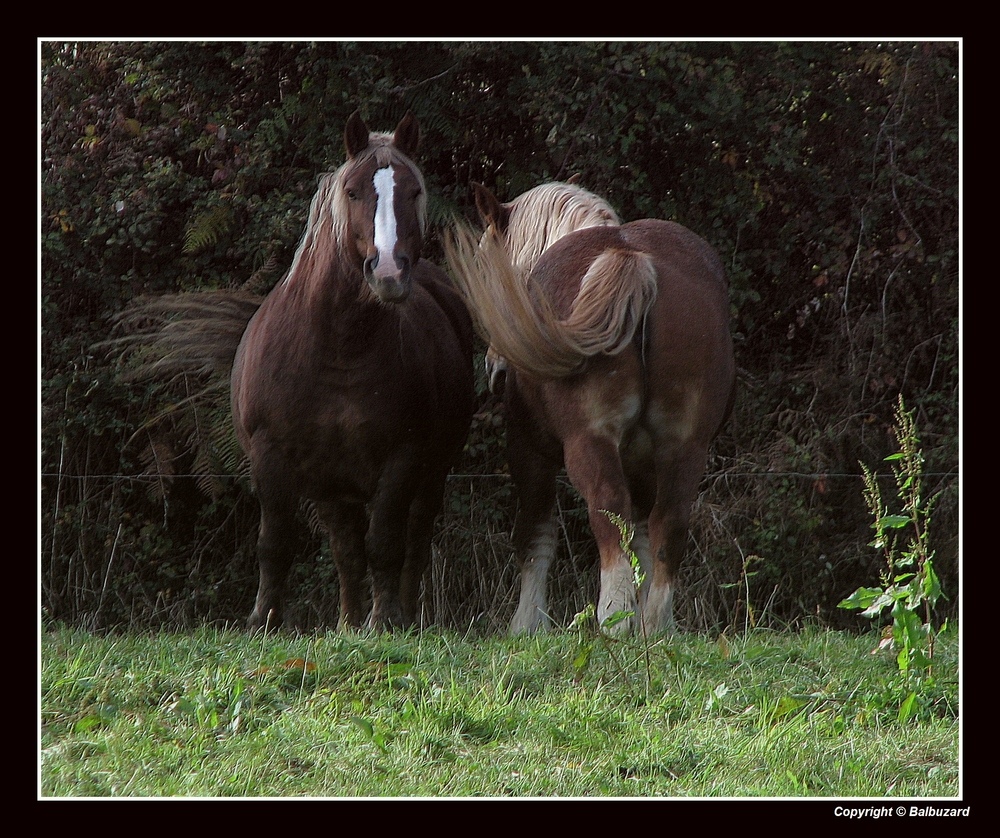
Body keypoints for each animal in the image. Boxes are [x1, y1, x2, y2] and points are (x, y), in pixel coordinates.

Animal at [446, 189, 736, 636]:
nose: (495, 369)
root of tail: (632, 259)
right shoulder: (644, 461)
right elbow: (643, 539)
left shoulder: (529, 451)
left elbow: (536, 536)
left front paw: (527, 624)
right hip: (685, 446)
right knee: (668, 524)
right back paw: (656, 626)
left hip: (589, 443)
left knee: (608, 513)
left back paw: (614, 619)